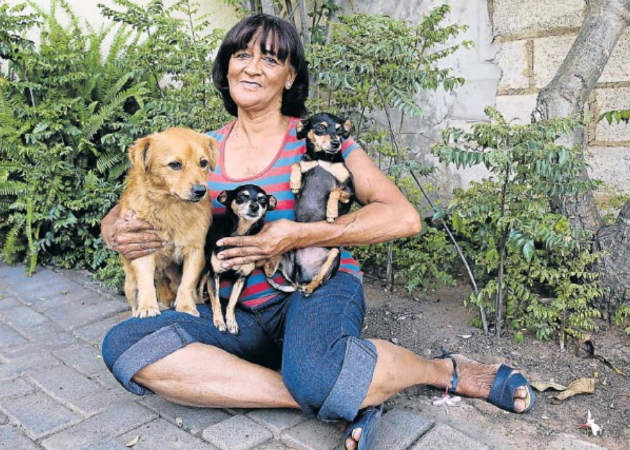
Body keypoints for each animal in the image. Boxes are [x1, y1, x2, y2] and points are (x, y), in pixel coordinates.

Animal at [121, 125, 220, 316]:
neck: (171, 207)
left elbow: (187, 283)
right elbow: (146, 283)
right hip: (130, 284)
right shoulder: (144, 250)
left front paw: (186, 306)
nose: (200, 190)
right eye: (175, 164)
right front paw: (147, 307)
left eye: (203, 163)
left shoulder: (195, 251)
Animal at [199, 184, 276, 334]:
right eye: (242, 196)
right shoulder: (214, 275)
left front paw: (231, 322)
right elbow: (216, 300)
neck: (239, 234)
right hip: (205, 268)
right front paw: (219, 321)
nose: (254, 206)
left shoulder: (242, 278)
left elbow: (232, 302)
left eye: (263, 200)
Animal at [266, 112, 356, 296]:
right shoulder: (303, 176)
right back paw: (269, 264)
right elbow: (296, 164)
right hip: (287, 247)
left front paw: (331, 212)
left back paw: (309, 287)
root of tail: (298, 281)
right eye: (320, 128)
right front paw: (294, 181)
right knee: (273, 269)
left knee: (319, 279)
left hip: (334, 253)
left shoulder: (350, 192)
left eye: (339, 130)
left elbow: (335, 191)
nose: (336, 143)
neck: (322, 158)